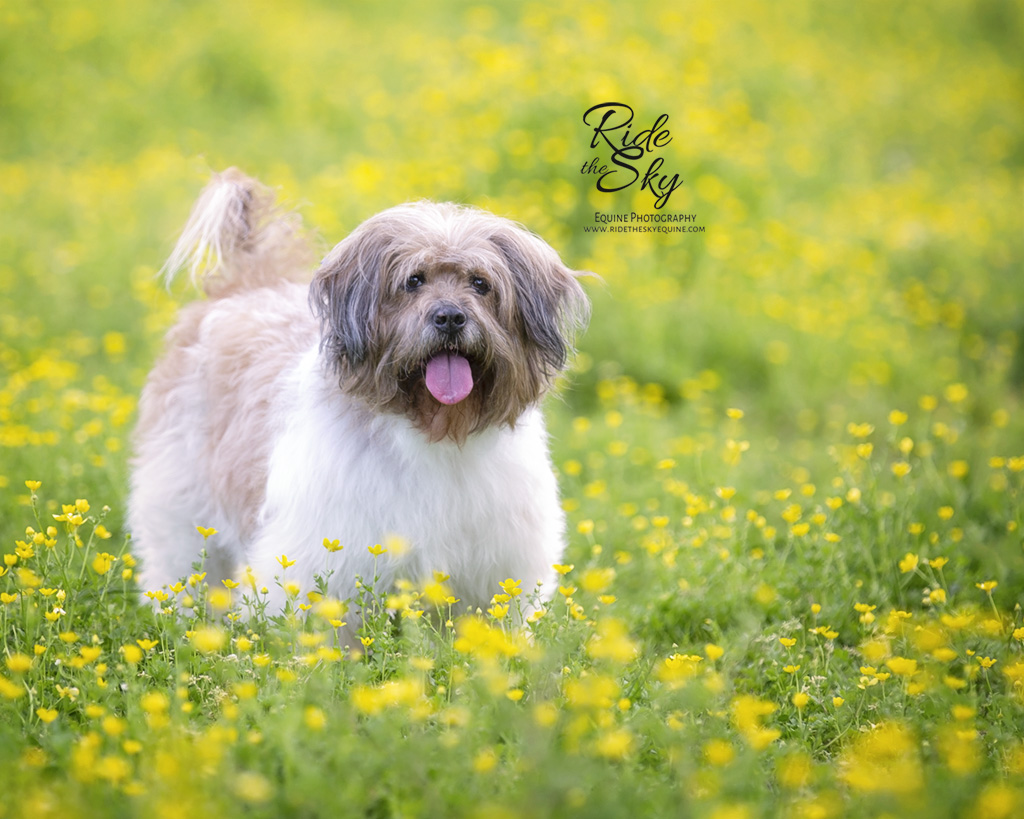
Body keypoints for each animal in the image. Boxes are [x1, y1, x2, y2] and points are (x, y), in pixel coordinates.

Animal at [130, 169, 585, 634]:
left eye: (481, 283)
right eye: (414, 280)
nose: (450, 317)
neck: (432, 429)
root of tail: (247, 285)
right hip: (181, 505)